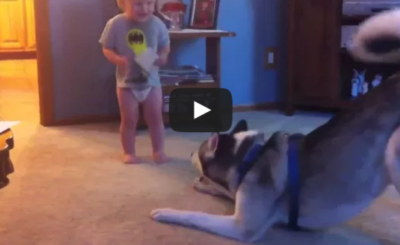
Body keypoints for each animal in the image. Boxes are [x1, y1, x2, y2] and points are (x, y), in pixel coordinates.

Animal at [150, 8, 400, 242]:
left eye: (198, 151)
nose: (190, 152)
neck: (248, 158)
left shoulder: (242, 227)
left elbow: (195, 215)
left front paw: (167, 212)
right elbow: (226, 191)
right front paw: (207, 186)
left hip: (392, 153)